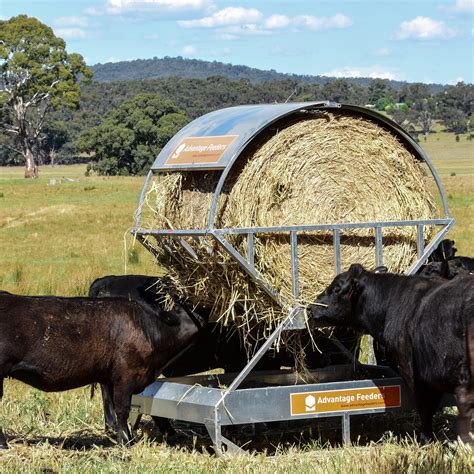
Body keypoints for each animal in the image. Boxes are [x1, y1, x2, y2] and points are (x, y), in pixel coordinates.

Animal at [0, 290, 203, 446]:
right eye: (193, 308)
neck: (151, 329)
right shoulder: (125, 377)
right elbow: (122, 410)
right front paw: (125, 442)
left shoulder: (110, 379)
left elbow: (112, 408)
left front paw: (123, 437)